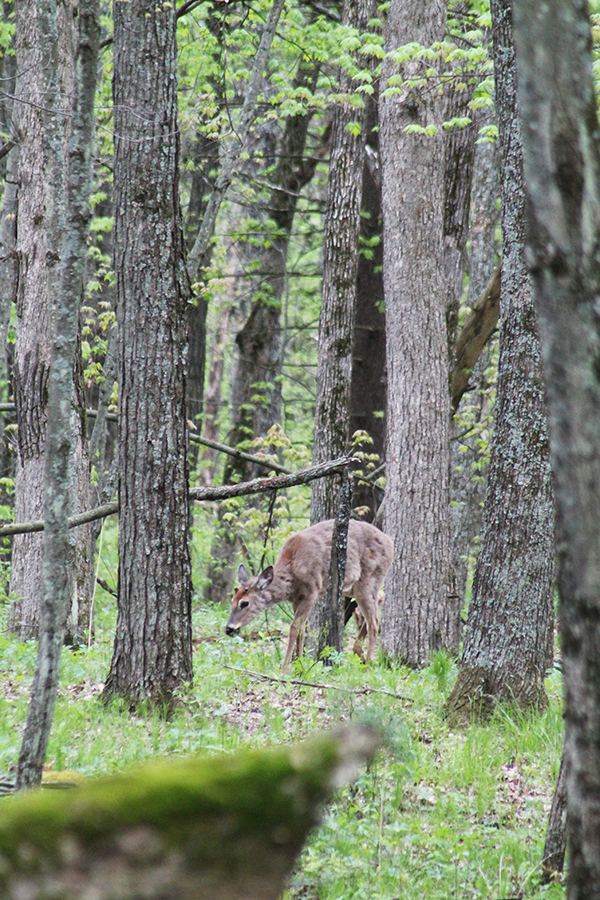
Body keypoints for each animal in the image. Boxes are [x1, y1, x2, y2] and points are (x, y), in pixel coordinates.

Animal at [225, 516, 394, 672]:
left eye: (244, 603)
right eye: (231, 600)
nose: (228, 629)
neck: (292, 571)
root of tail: (390, 542)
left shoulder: (312, 590)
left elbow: (294, 628)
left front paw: (285, 668)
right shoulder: (296, 598)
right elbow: (301, 629)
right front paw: (298, 666)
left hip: (368, 579)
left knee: (374, 623)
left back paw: (367, 664)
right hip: (352, 586)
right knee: (380, 597)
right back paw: (358, 653)